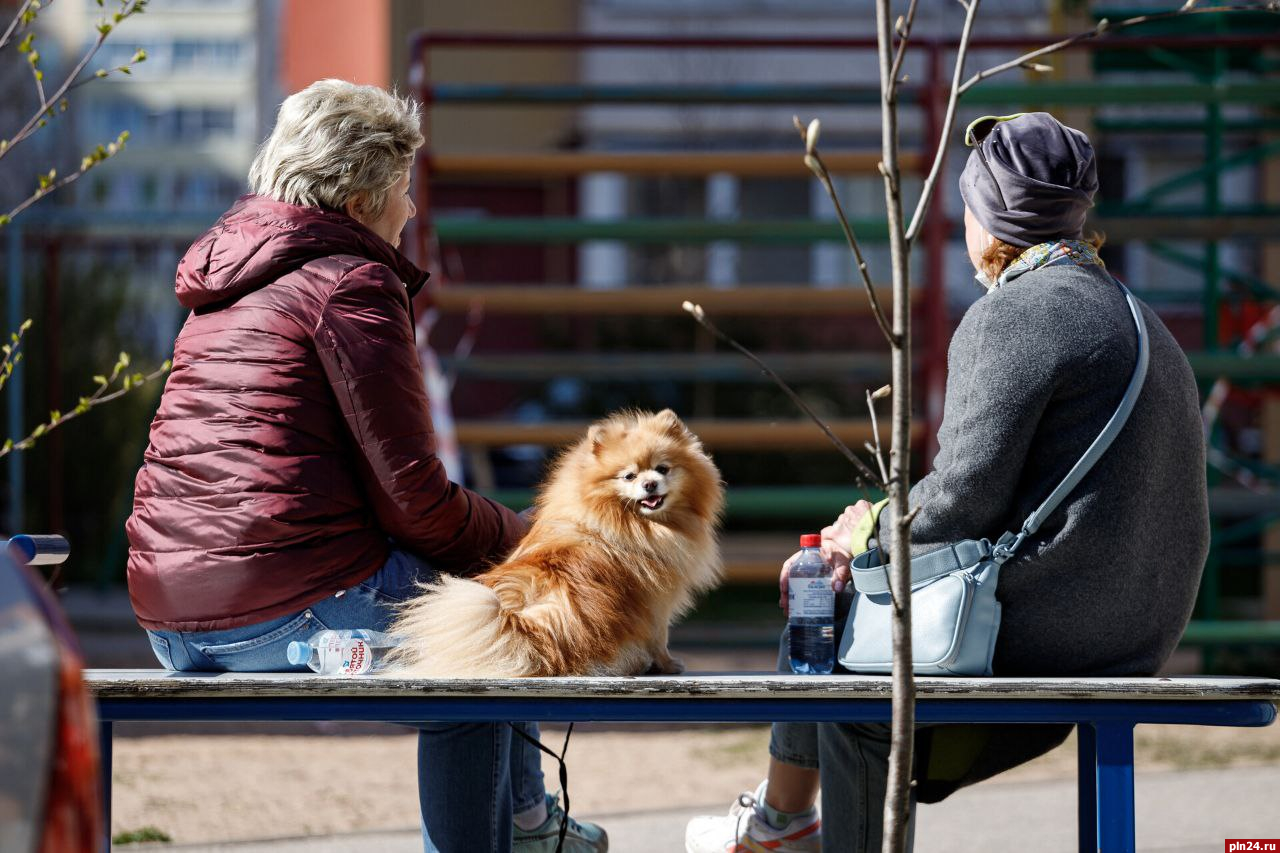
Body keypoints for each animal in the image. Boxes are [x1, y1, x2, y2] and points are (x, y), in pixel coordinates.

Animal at [384, 409, 727, 676]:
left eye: (662, 469)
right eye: (628, 476)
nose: (650, 484)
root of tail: (526, 628)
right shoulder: (656, 601)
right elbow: (659, 639)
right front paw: (668, 664)